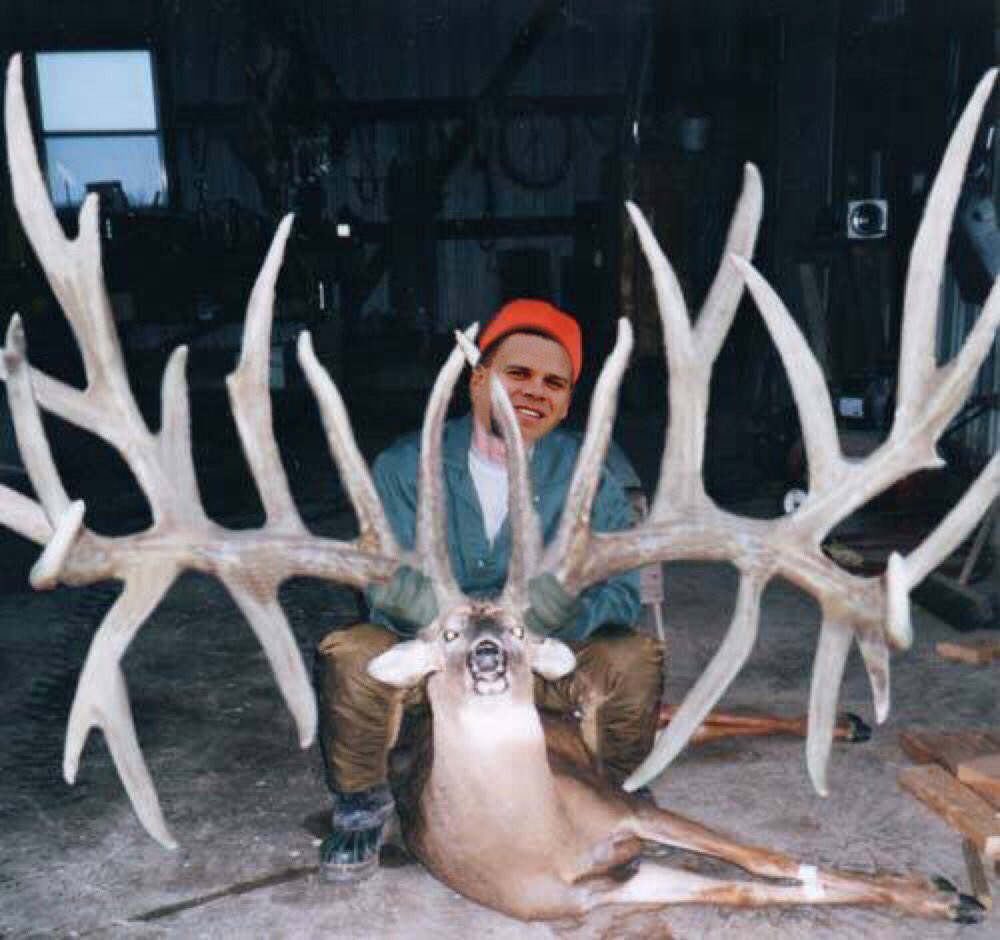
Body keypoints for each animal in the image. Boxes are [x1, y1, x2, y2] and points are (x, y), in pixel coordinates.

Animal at [1, 51, 997, 924]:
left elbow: (771, 861)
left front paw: (933, 890)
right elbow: (755, 886)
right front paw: (934, 890)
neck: (539, 841)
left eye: (515, 628)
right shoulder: (599, 888)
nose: (486, 651)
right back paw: (841, 726)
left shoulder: (626, 814)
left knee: (670, 714)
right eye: (446, 632)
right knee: (681, 718)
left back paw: (844, 728)